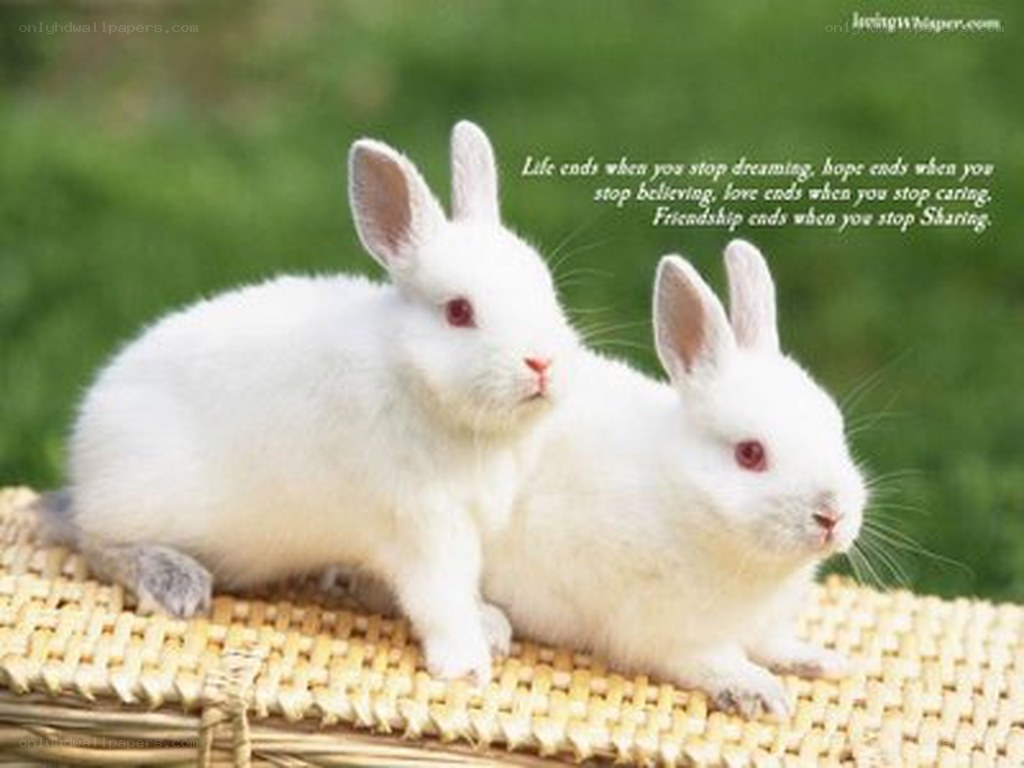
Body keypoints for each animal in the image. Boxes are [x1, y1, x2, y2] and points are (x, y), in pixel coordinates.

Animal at [51, 120, 580, 685]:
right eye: (459, 312)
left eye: (547, 289)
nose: (542, 363)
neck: (413, 379)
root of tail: (86, 439)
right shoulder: (425, 527)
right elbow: (441, 600)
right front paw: (467, 665)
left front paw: (491, 625)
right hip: (136, 502)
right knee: (95, 544)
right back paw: (176, 583)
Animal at [473, 239, 867, 717]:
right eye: (750, 453)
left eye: (836, 427)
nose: (832, 515)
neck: (686, 500)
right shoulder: (667, 633)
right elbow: (713, 660)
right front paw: (760, 692)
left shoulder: (764, 626)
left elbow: (774, 645)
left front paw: (821, 661)